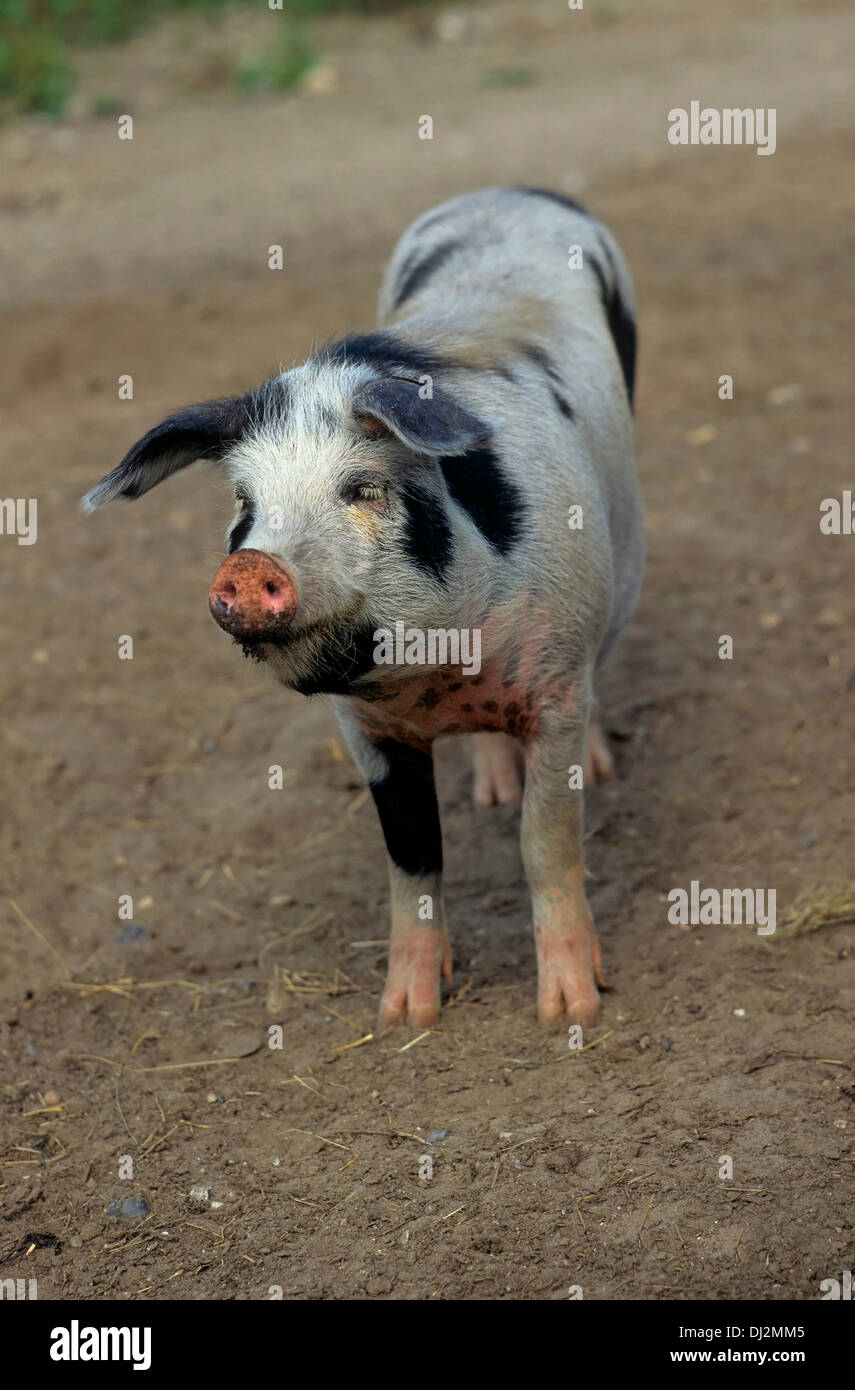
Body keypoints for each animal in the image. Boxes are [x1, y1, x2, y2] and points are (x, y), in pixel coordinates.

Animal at [83, 186, 644, 1030]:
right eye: (244, 502)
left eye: (363, 489)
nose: (249, 565)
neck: (437, 677)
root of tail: (510, 193)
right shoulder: (365, 731)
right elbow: (411, 860)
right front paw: (405, 1016)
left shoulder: (553, 688)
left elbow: (545, 845)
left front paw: (569, 1011)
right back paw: (490, 789)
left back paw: (599, 767)